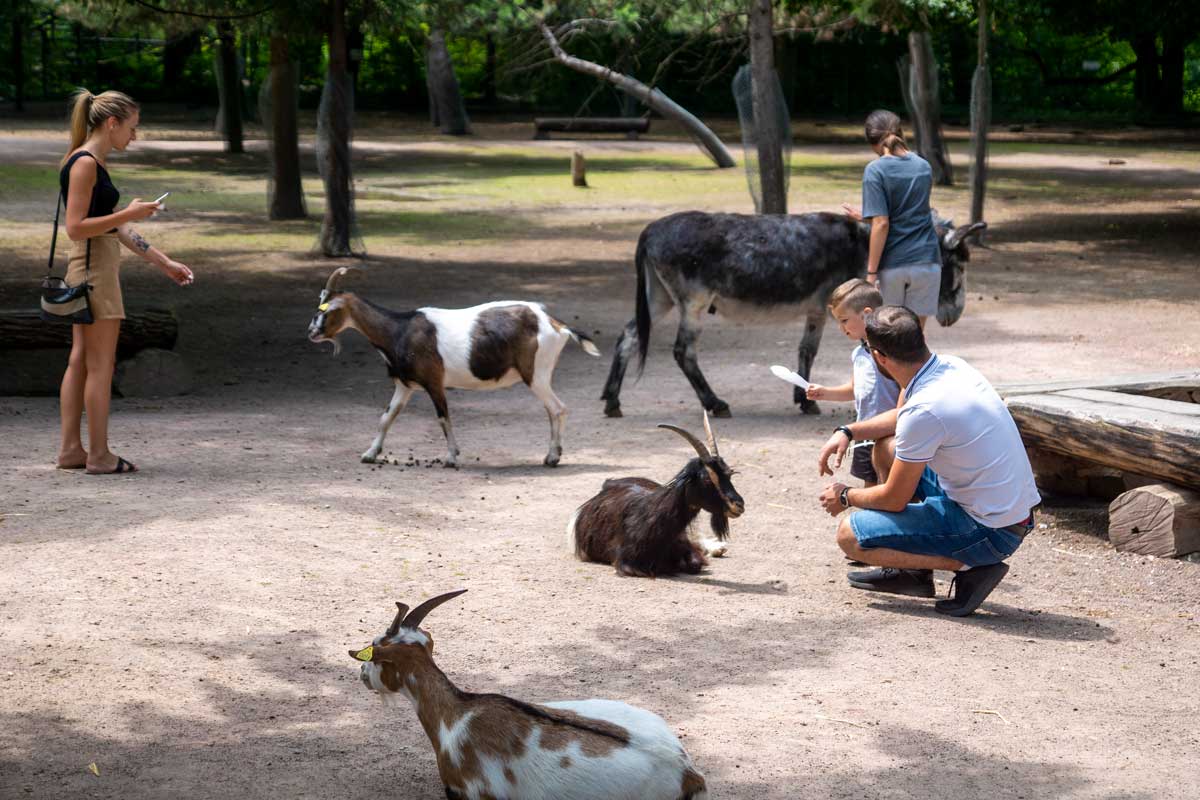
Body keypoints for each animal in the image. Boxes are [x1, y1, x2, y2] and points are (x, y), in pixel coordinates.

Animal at [304, 268, 595, 470]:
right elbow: (387, 417)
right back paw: (551, 455)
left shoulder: (434, 382)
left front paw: (452, 458)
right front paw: (369, 454)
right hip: (539, 374)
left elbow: (443, 418)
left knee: (558, 409)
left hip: (537, 373)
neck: (399, 331)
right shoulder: (404, 385)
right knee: (552, 410)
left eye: (328, 310)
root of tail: (556, 324)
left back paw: (552, 457)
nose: (311, 333)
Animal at [566, 417, 744, 578]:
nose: (739, 505)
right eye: (707, 479)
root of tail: (606, 485)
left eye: (729, 474)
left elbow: (694, 563)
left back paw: (718, 547)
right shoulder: (626, 563)